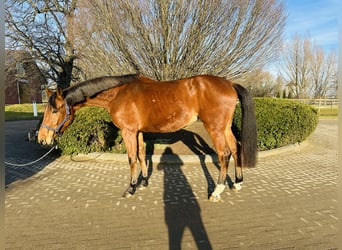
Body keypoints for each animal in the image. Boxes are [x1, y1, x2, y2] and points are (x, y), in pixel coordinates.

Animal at [38, 73, 256, 201]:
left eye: (55, 110)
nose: (42, 138)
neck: (118, 94)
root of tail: (230, 84)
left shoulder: (128, 132)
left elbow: (132, 158)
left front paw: (131, 188)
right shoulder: (139, 132)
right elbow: (142, 155)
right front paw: (143, 182)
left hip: (215, 128)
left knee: (224, 154)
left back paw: (217, 191)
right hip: (225, 128)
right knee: (236, 148)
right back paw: (237, 183)